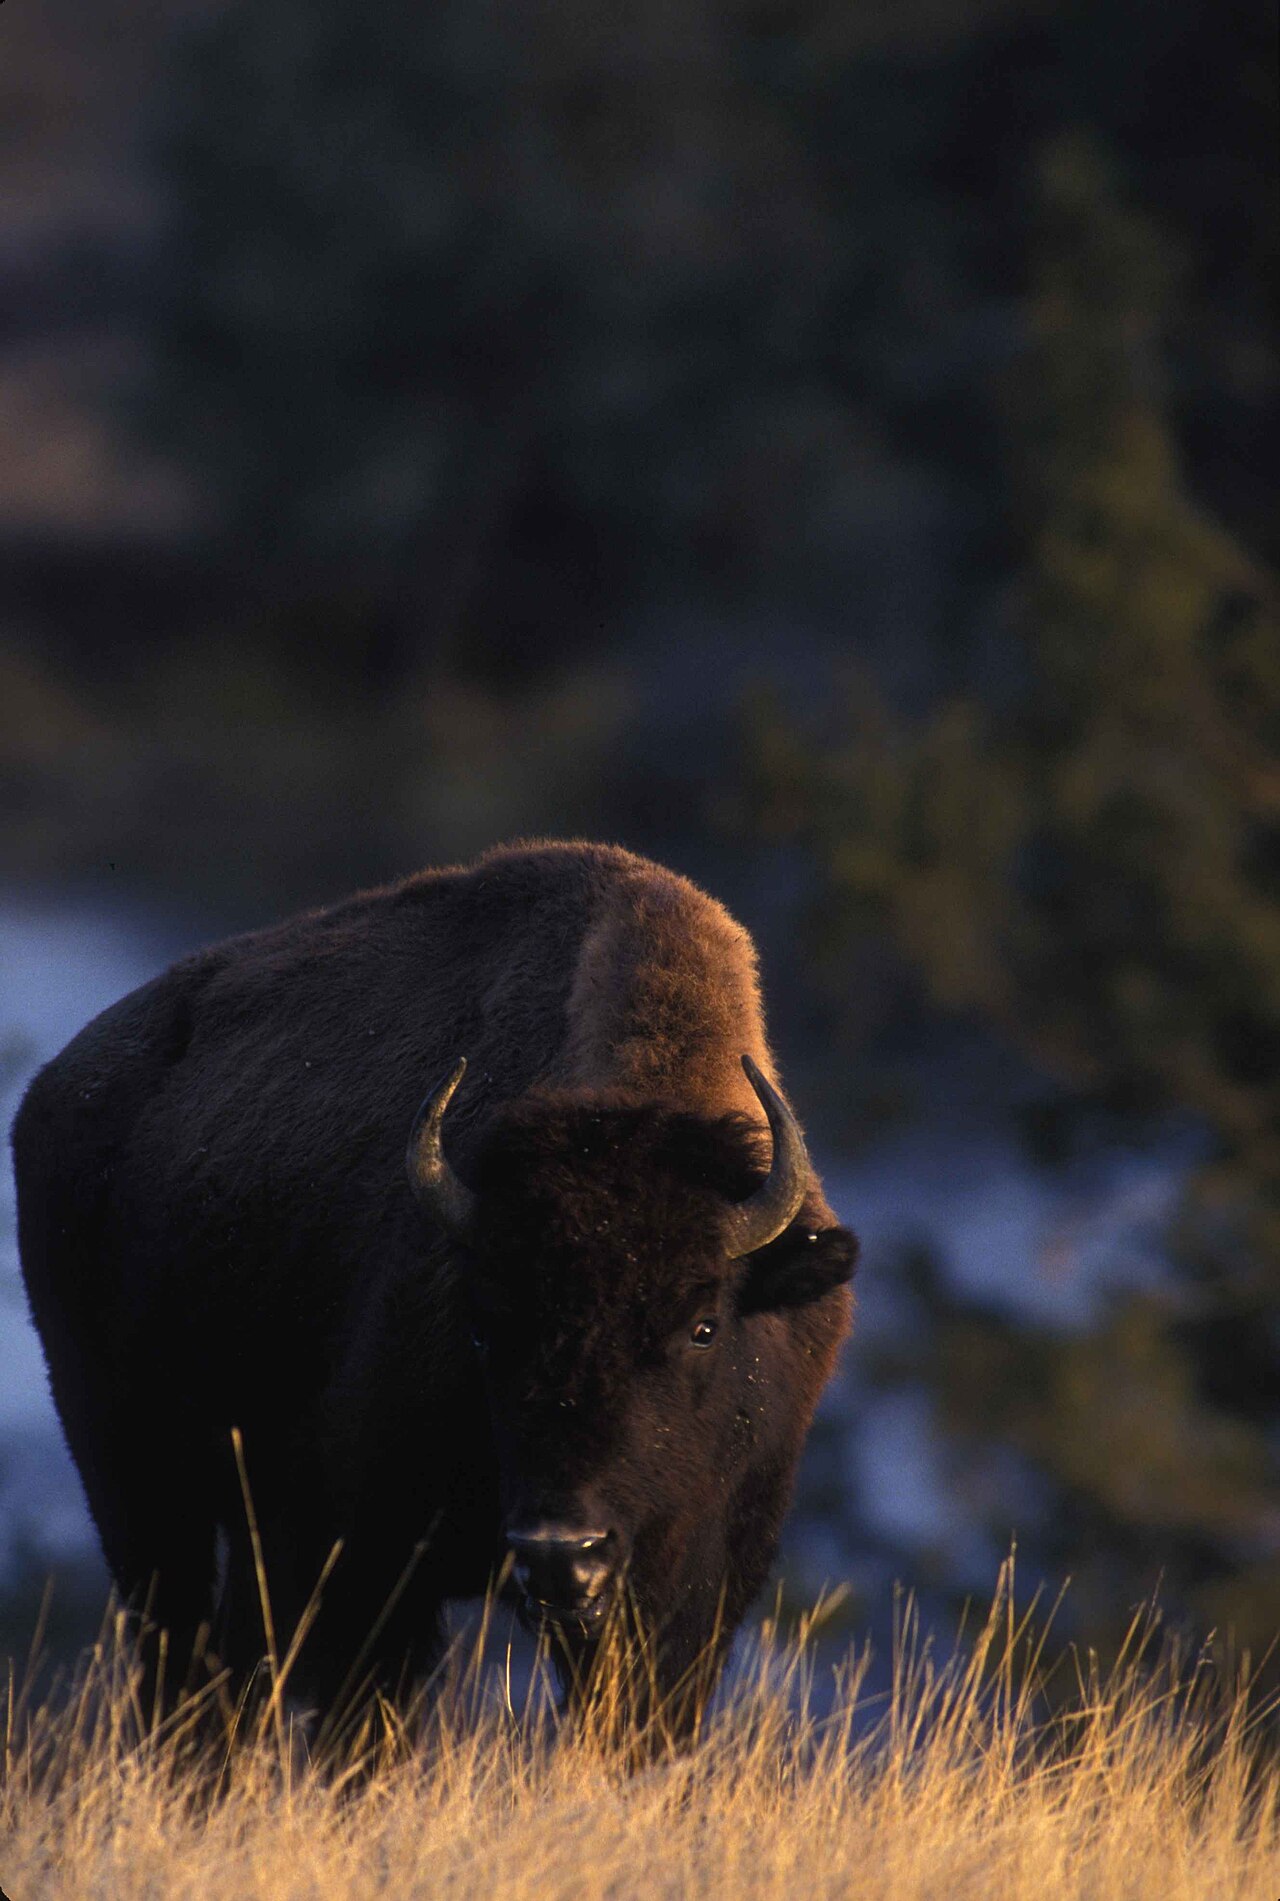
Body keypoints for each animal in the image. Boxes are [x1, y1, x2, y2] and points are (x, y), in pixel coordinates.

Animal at [12, 841, 856, 1737]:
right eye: (482, 1325)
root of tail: (51, 1092)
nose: (563, 1552)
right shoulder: (372, 1565)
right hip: (134, 1483)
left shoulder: (694, 1588)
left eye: (702, 1325)